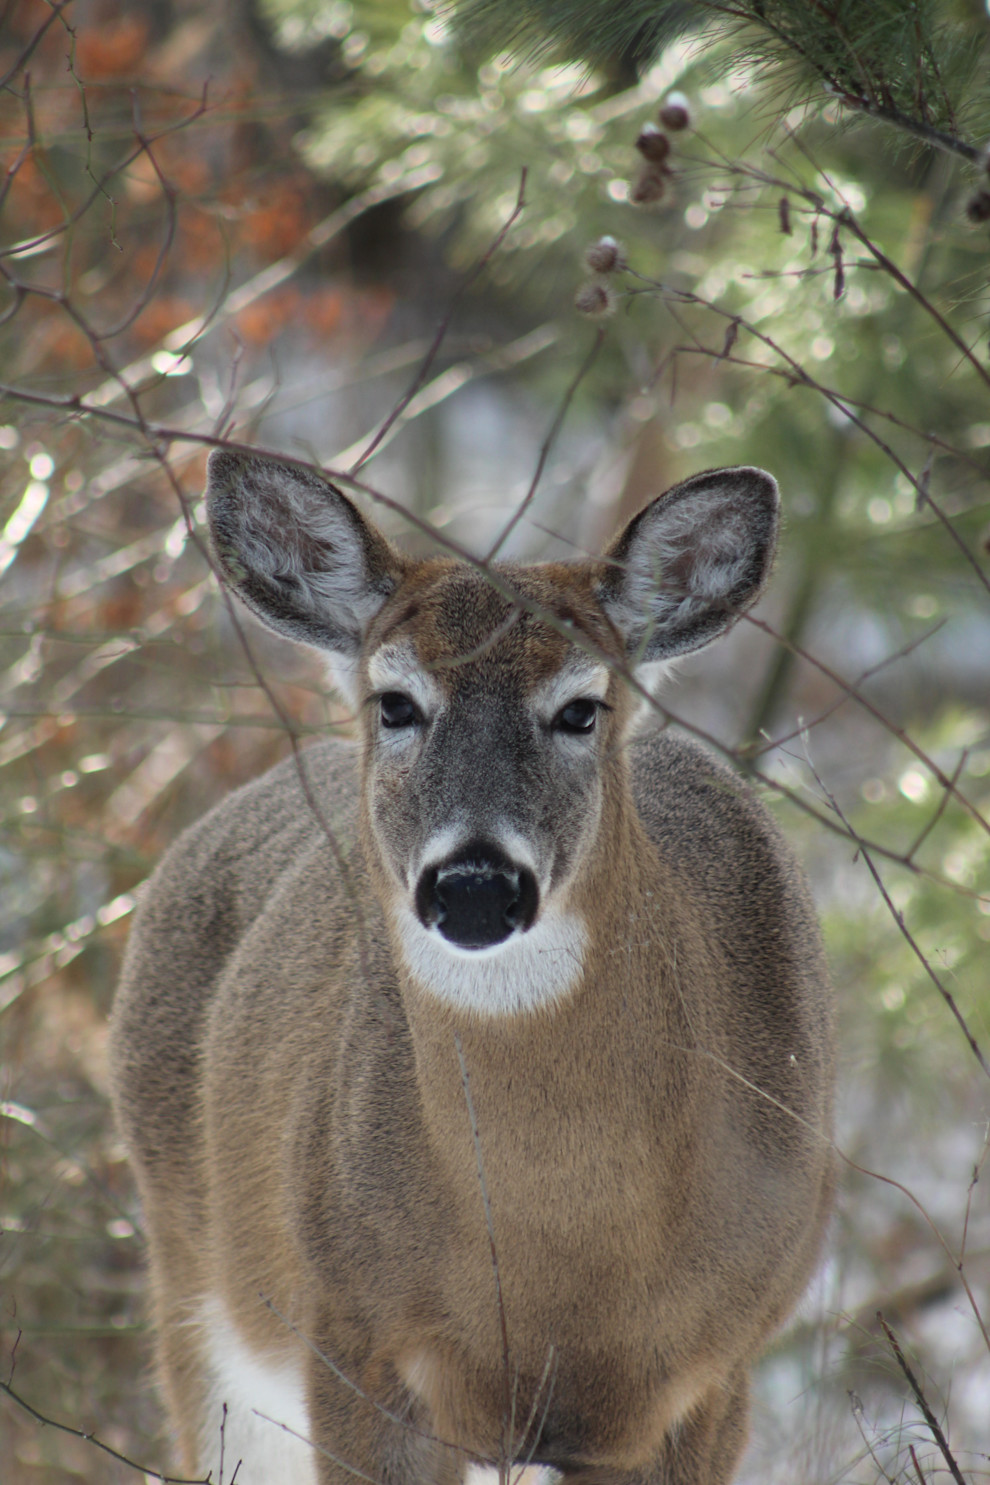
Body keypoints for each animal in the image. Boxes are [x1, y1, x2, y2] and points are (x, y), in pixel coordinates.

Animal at [110, 449, 835, 1485]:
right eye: (396, 702)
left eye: (581, 707)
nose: (477, 886)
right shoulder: (358, 1342)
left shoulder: (712, 1375)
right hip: (200, 1301)